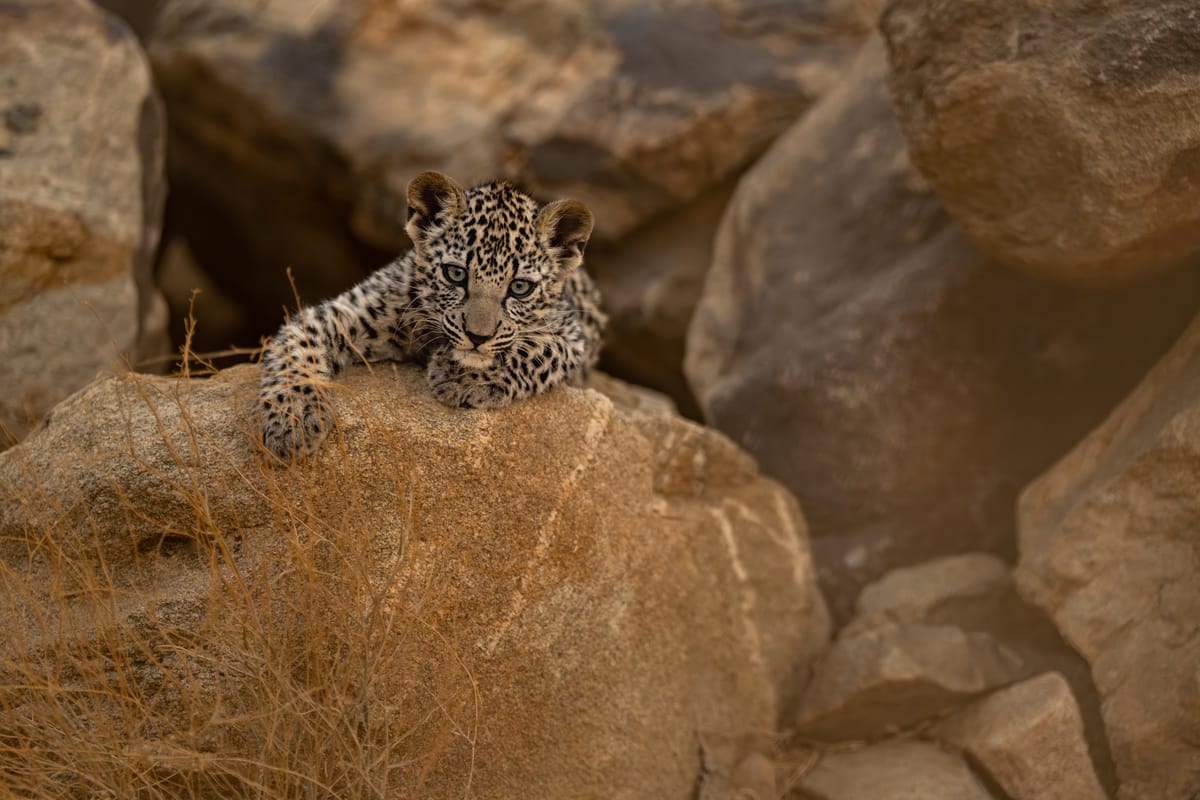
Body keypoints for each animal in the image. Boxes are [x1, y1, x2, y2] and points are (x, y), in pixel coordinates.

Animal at [256, 171, 607, 461]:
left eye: (520, 287)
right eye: (455, 274)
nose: (478, 337)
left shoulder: (574, 338)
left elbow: (534, 351)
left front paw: (459, 377)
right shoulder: (343, 312)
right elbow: (296, 348)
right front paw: (291, 420)